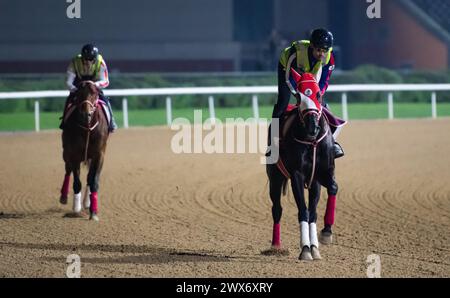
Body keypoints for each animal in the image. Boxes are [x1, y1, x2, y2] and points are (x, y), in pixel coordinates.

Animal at [59, 81, 110, 221]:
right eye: (79, 93)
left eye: (95, 93)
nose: (85, 114)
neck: (87, 128)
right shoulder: (74, 154)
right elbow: (77, 182)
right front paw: (76, 208)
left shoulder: (99, 155)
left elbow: (93, 181)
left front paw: (93, 211)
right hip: (66, 153)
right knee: (68, 170)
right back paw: (63, 196)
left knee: (88, 177)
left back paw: (87, 202)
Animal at [268, 70, 338, 260]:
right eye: (299, 97)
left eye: (318, 94)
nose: (312, 127)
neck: (312, 141)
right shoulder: (297, 175)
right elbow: (303, 210)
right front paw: (305, 248)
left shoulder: (320, 175)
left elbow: (328, 193)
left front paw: (322, 238)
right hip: (274, 178)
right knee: (277, 209)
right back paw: (276, 246)